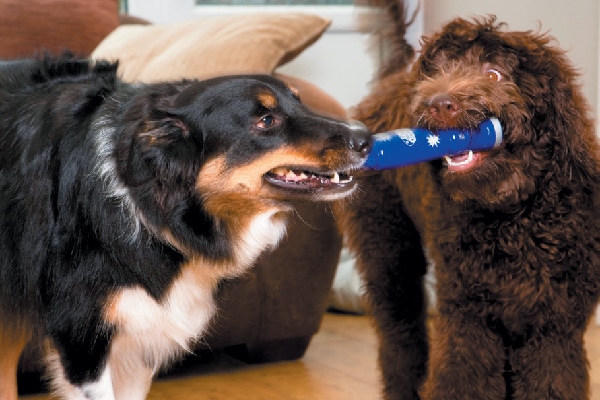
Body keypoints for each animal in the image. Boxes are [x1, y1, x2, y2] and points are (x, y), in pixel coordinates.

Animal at [338, 1, 600, 398]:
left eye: (494, 74)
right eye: (440, 70)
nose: (438, 104)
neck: (513, 217)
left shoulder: (552, 327)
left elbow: (551, 382)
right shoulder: (468, 318)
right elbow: (462, 379)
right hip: (388, 253)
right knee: (401, 338)